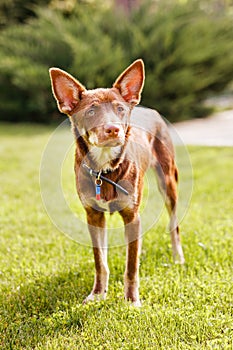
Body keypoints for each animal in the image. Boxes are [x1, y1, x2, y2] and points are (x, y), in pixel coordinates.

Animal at [49, 60, 184, 306]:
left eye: (119, 109)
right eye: (91, 111)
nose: (113, 129)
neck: (105, 170)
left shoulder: (132, 215)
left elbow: (131, 267)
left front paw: (131, 301)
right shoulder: (93, 216)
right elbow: (100, 262)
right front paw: (98, 294)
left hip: (168, 182)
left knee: (174, 225)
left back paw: (178, 257)